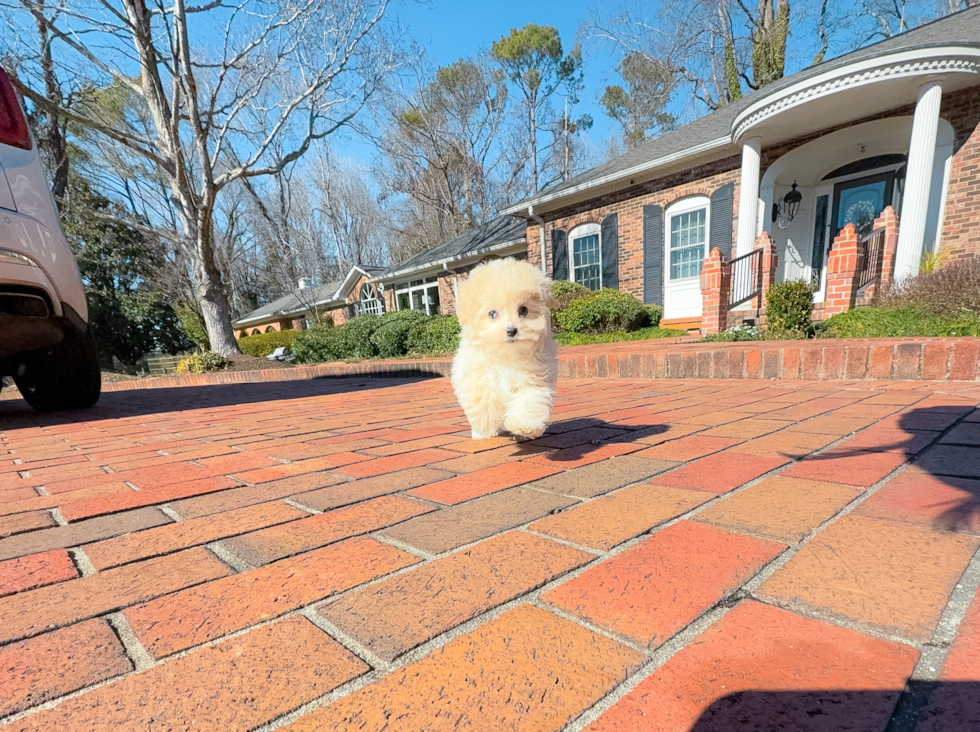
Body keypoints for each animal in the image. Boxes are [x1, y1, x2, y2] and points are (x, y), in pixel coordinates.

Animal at [454, 258, 560, 440]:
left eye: (523, 310)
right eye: (492, 314)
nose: (511, 330)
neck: (506, 355)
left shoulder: (533, 379)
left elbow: (528, 400)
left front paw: (524, 426)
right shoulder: (475, 374)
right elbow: (484, 399)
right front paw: (488, 425)